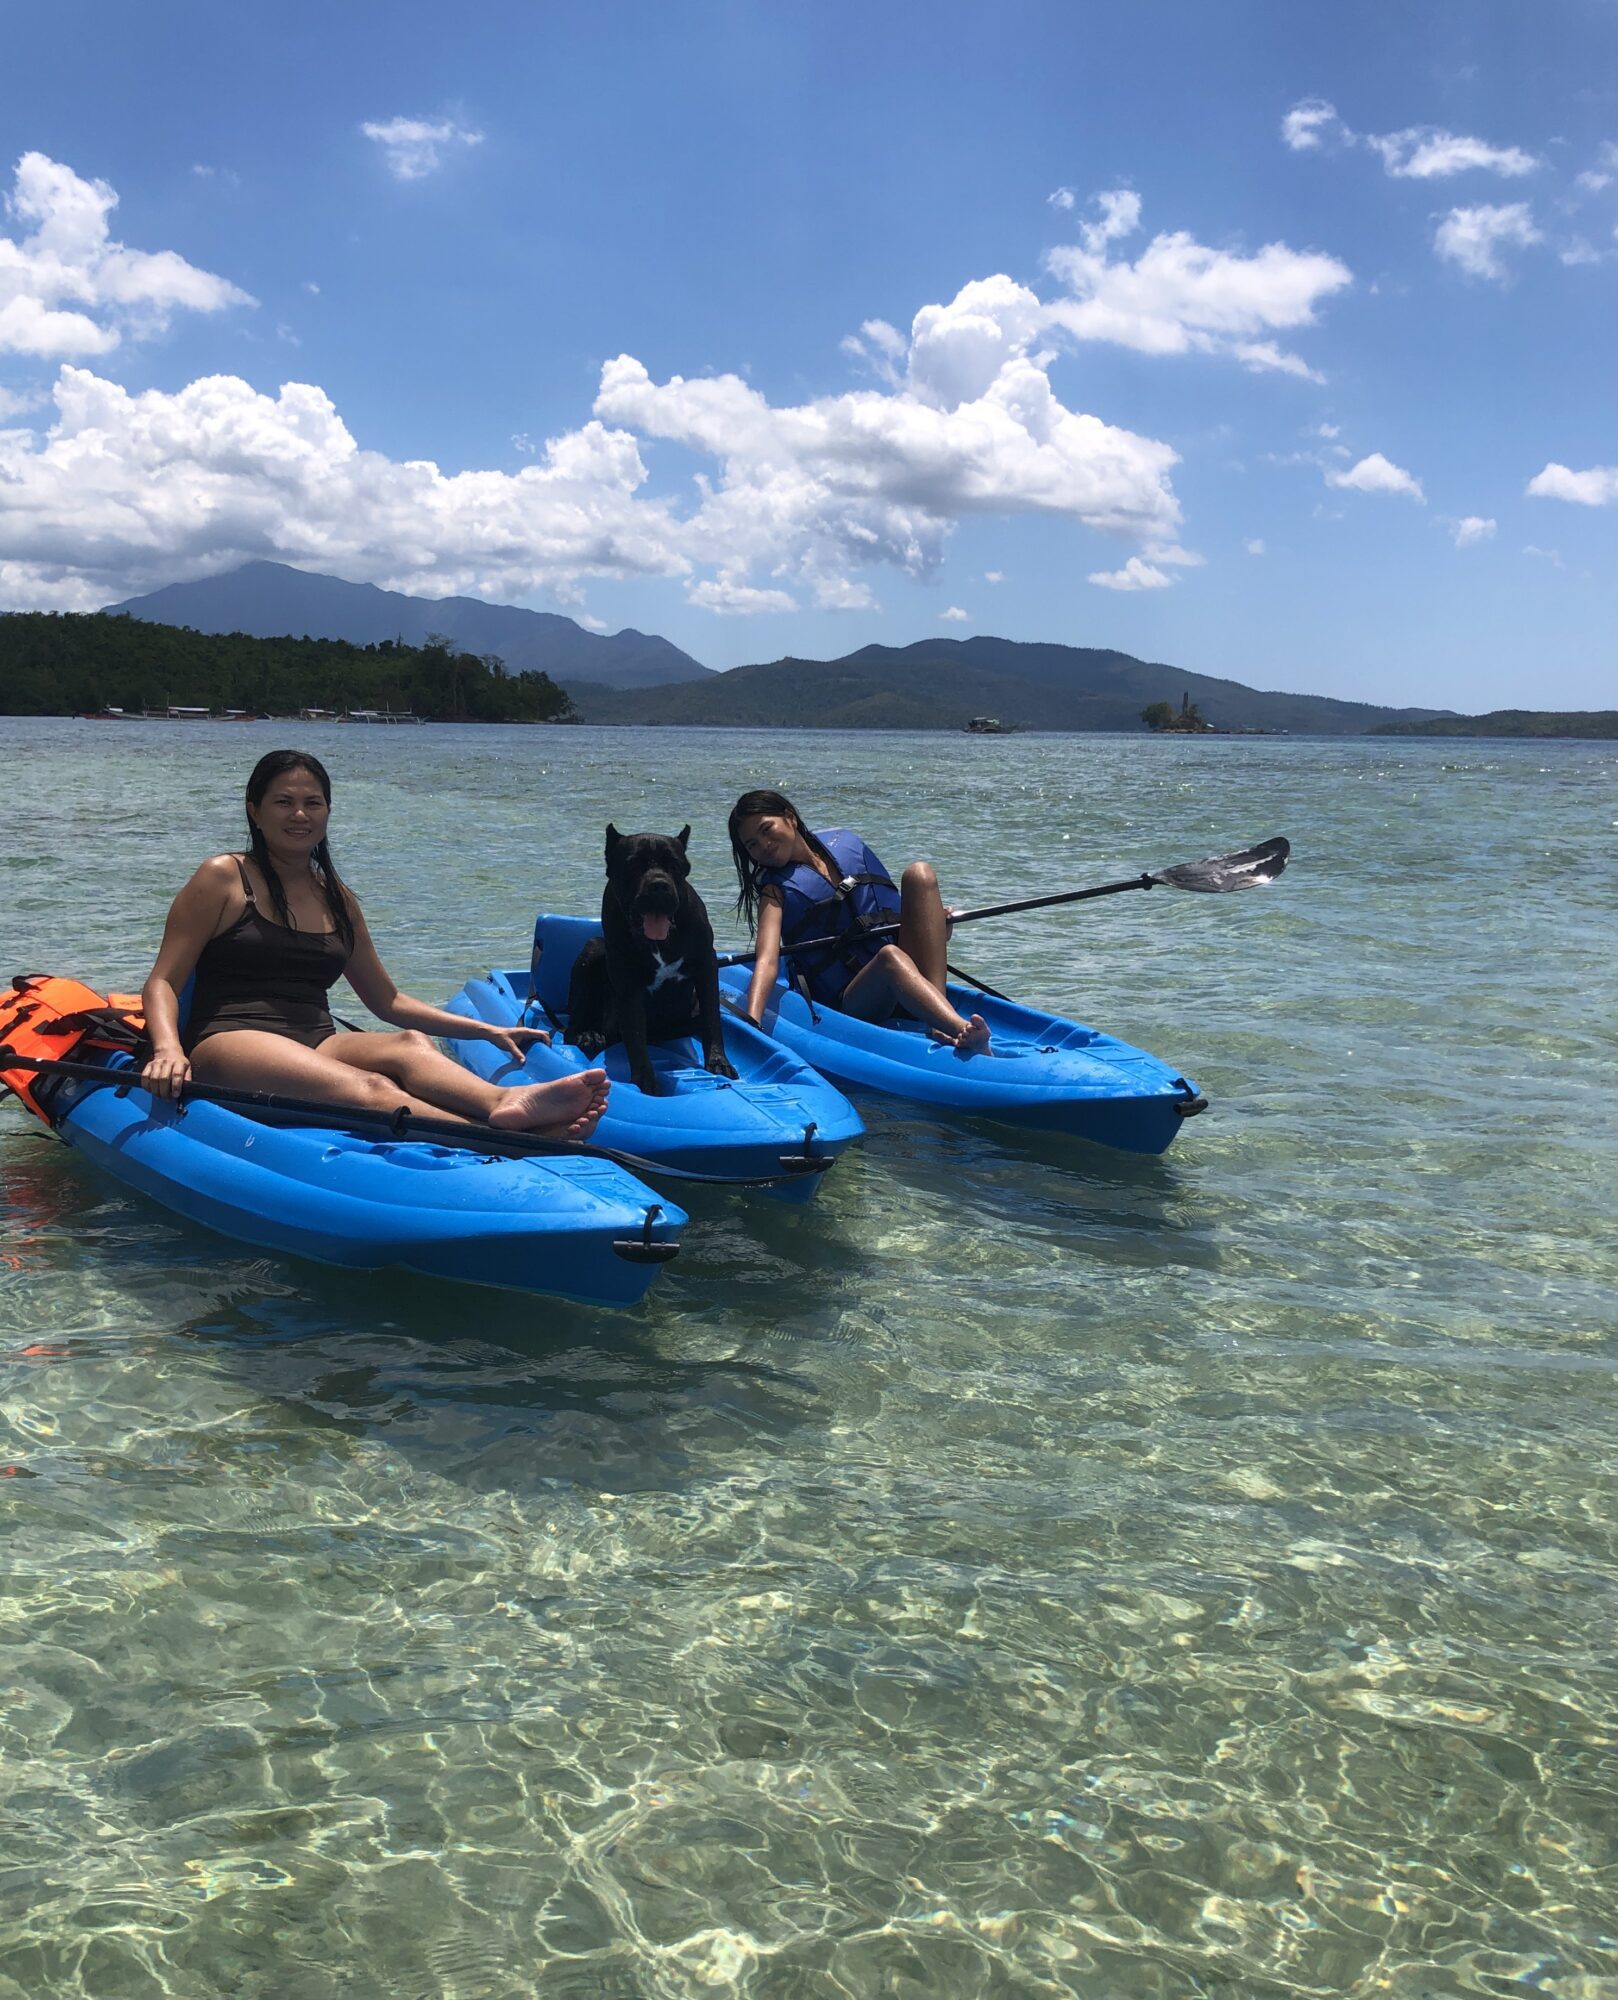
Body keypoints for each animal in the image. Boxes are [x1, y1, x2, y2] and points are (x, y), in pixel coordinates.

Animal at [560, 824, 740, 1096]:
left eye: (674, 864)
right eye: (634, 864)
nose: (658, 885)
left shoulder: (707, 964)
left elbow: (712, 1018)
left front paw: (719, 1063)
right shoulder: (628, 984)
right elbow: (635, 1035)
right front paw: (645, 1080)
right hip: (592, 951)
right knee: (571, 1028)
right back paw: (588, 1035)